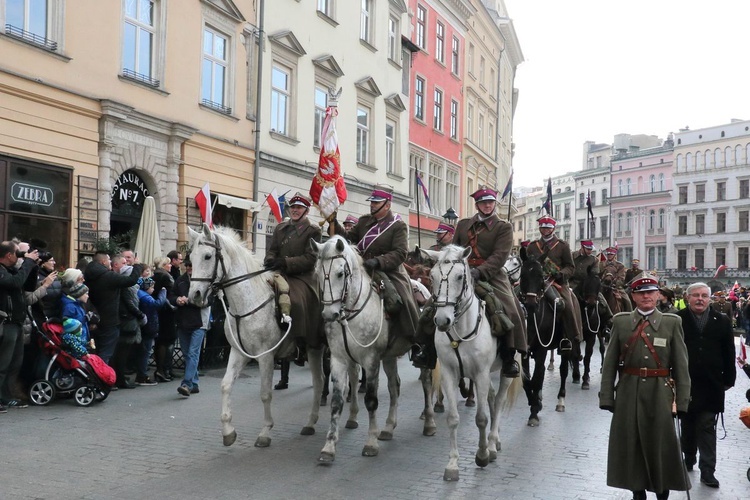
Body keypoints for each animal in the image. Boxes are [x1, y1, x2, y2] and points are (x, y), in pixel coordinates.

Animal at [188, 225, 338, 448]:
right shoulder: (238, 352)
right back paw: (310, 422)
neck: (247, 304)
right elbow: (225, 385)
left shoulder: (265, 356)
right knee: (319, 381)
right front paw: (228, 431)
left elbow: (265, 394)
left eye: (207, 256)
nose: (194, 296)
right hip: (314, 348)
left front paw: (265, 432)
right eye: (190, 257)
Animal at [314, 236, 438, 462]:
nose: (329, 314)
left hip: (421, 355)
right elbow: (337, 401)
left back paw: (429, 422)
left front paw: (370, 443)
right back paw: (388, 428)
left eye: (340, 273)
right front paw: (329, 447)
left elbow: (371, 401)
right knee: (394, 386)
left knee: (426, 383)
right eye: (318, 273)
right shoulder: (339, 359)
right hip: (389, 357)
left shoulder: (370, 360)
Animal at [424, 245, 524, 480]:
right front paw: (452, 464)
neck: (459, 329)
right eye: (431, 276)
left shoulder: (480, 374)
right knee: (491, 397)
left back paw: (493, 443)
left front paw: (482, 454)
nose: (442, 320)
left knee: (498, 401)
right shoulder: (449, 374)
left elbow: (481, 418)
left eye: (460, 276)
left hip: (504, 372)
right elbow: (452, 418)